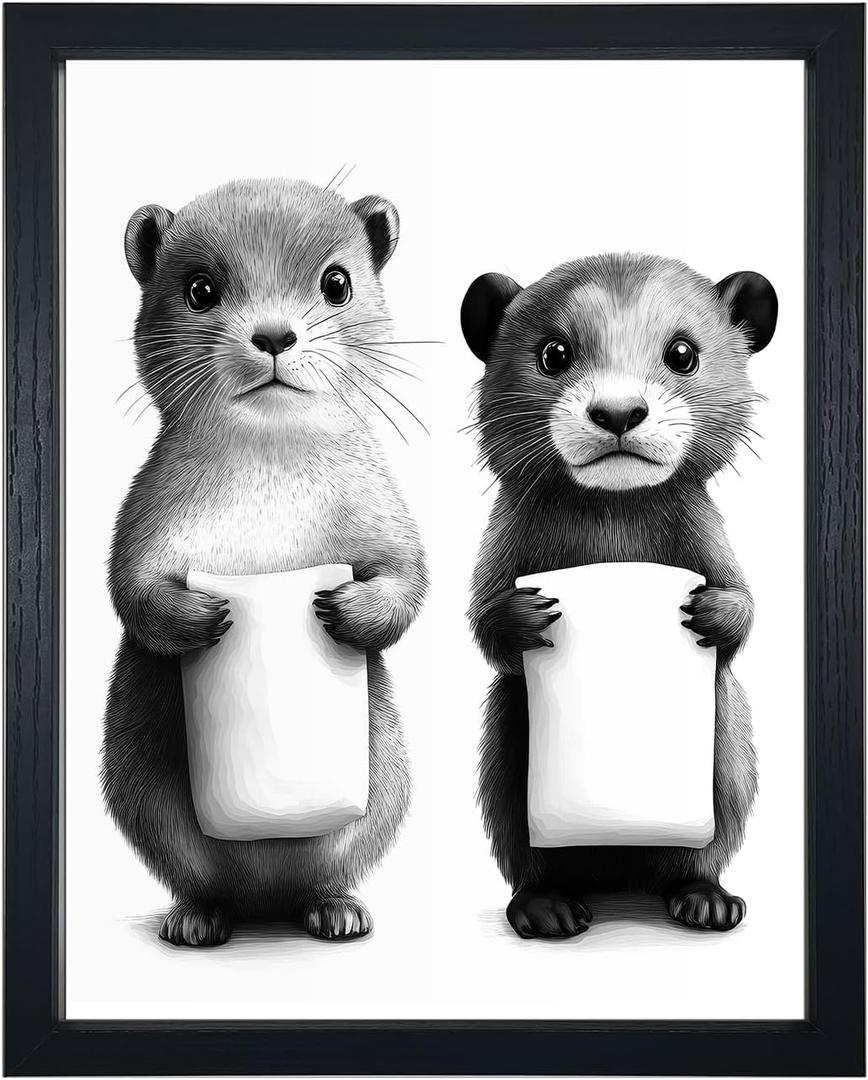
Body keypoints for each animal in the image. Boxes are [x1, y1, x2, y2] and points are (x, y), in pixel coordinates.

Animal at [103, 178, 426, 947]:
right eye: (200, 288)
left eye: (336, 282)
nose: (275, 335)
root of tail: (265, 901)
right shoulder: (148, 513)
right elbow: (132, 591)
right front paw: (200, 615)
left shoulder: (378, 501)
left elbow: (407, 574)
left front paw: (349, 611)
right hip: (144, 798)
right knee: (198, 879)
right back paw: (197, 917)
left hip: (385, 786)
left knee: (324, 874)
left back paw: (337, 909)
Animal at [461, 254, 777, 938]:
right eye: (553, 353)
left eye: (682, 352)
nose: (618, 412)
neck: (613, 509)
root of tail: (617, 871)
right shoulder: (509, 531)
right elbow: (482, 622)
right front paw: (525, 615)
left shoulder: (702, 528)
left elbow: (743, 605)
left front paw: (712, 611)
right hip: (506, 749)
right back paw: (547, 907)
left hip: (728, 756)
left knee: (702, 843)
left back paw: (705, 898)